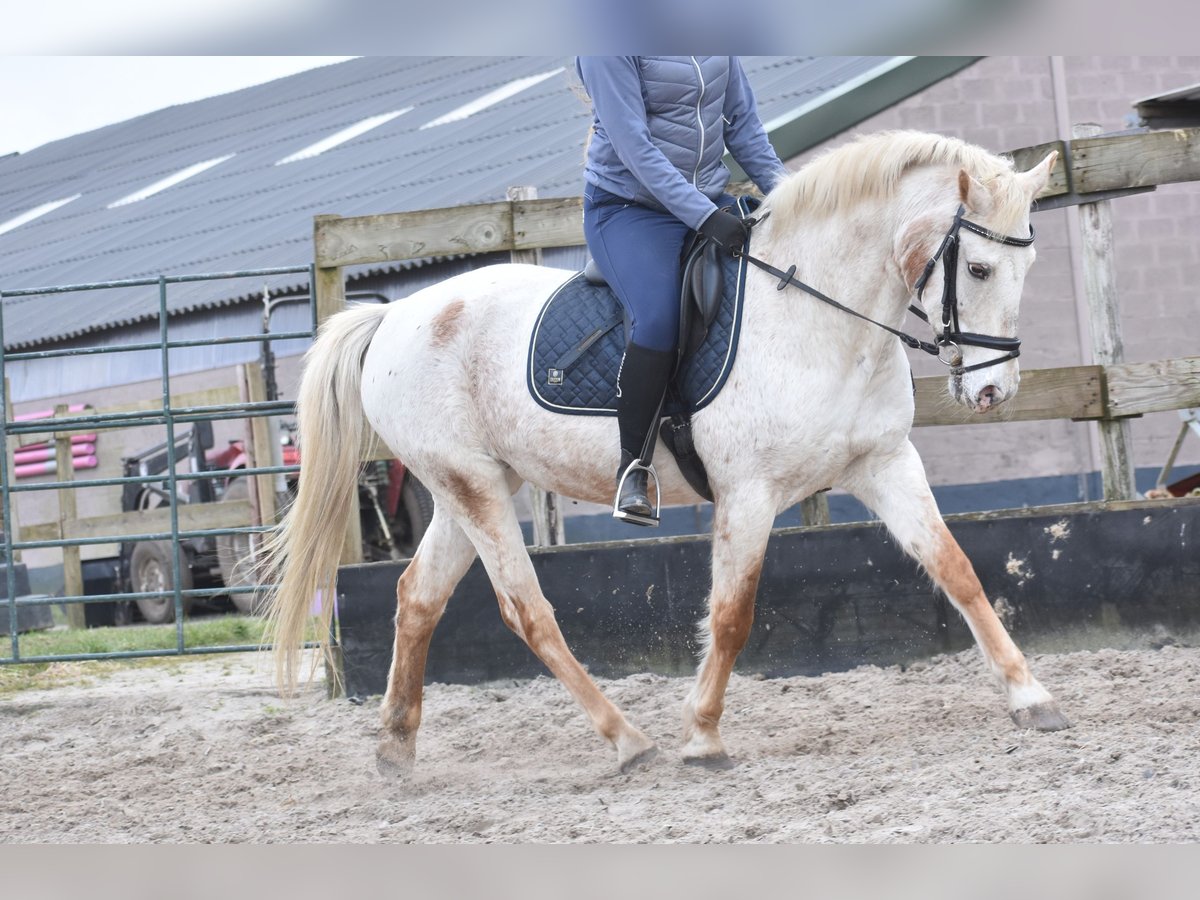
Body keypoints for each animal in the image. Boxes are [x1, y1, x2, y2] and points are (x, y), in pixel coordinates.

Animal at [262, 132, 1060, 777]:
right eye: (979, 270)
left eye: (1026, 270)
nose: (993, 390)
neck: (818, 316)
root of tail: (395, 314)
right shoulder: (749, 493)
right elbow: (732, 615)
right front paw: (702, 738)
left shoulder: (886, 464)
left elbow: (959, 571)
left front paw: (1032, 697)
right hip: (473, 488)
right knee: (526, 609)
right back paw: (628, 741)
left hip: (466, 488)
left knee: (417, 600)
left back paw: (395, 748)